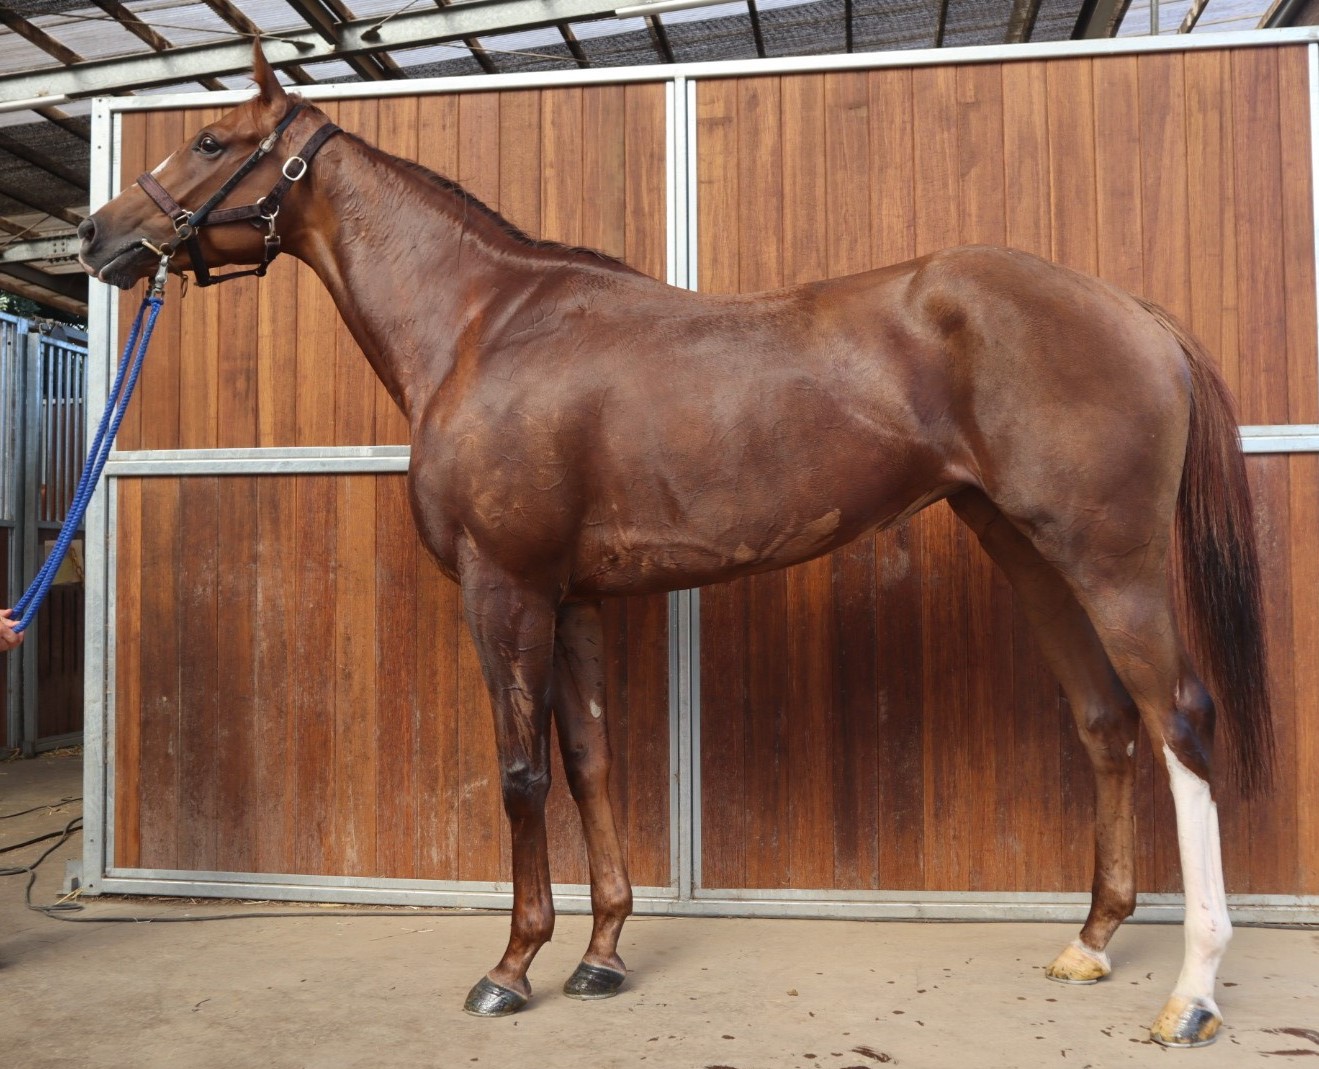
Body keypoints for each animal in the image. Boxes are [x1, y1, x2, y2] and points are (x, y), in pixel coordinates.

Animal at [77, 42, 1274, 1047]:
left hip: (1111, 561)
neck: (481, 325)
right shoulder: (573, 599)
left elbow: (521, 772)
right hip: (1026, 552)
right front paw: (602, 954)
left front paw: (510, 966)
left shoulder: (504, 589)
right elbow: (593, 762)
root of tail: (1131, 310)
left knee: (1179, 719)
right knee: (1106, 721)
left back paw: (1191, 993)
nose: (98, 235)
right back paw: (1088, 943)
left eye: (211, 142)